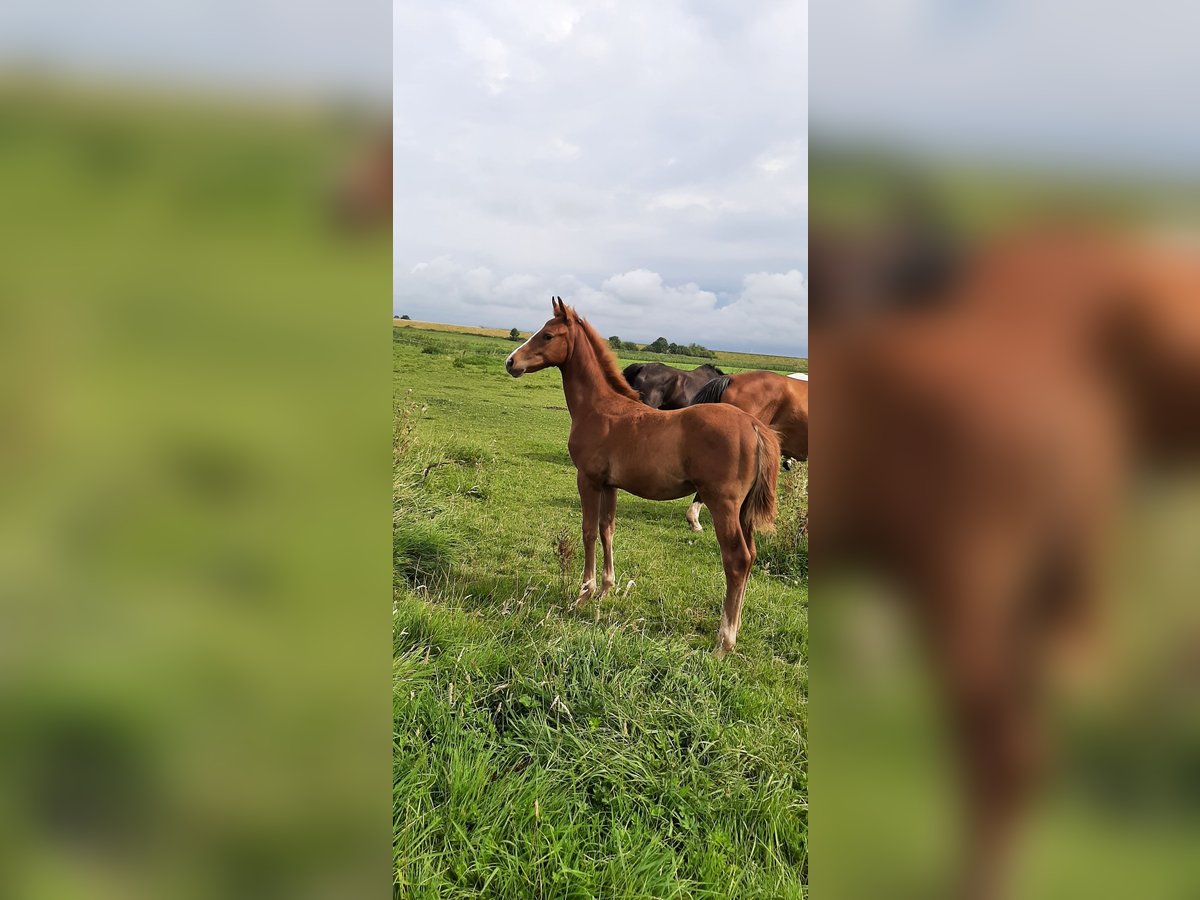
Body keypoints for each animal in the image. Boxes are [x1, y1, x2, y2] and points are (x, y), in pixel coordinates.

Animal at [504, 296, 777, 657]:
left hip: (724, 504)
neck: (600, 408)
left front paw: (584, 593)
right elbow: (607, 530)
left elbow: (588, 531)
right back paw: (737, 627)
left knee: (737, 559)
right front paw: (606, 589)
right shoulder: (610, 485)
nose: (511, 362)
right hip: (744, 510)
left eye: (548, 335)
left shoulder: (587, 479)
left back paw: (724, 640)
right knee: (751, 557)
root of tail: (753, 425)